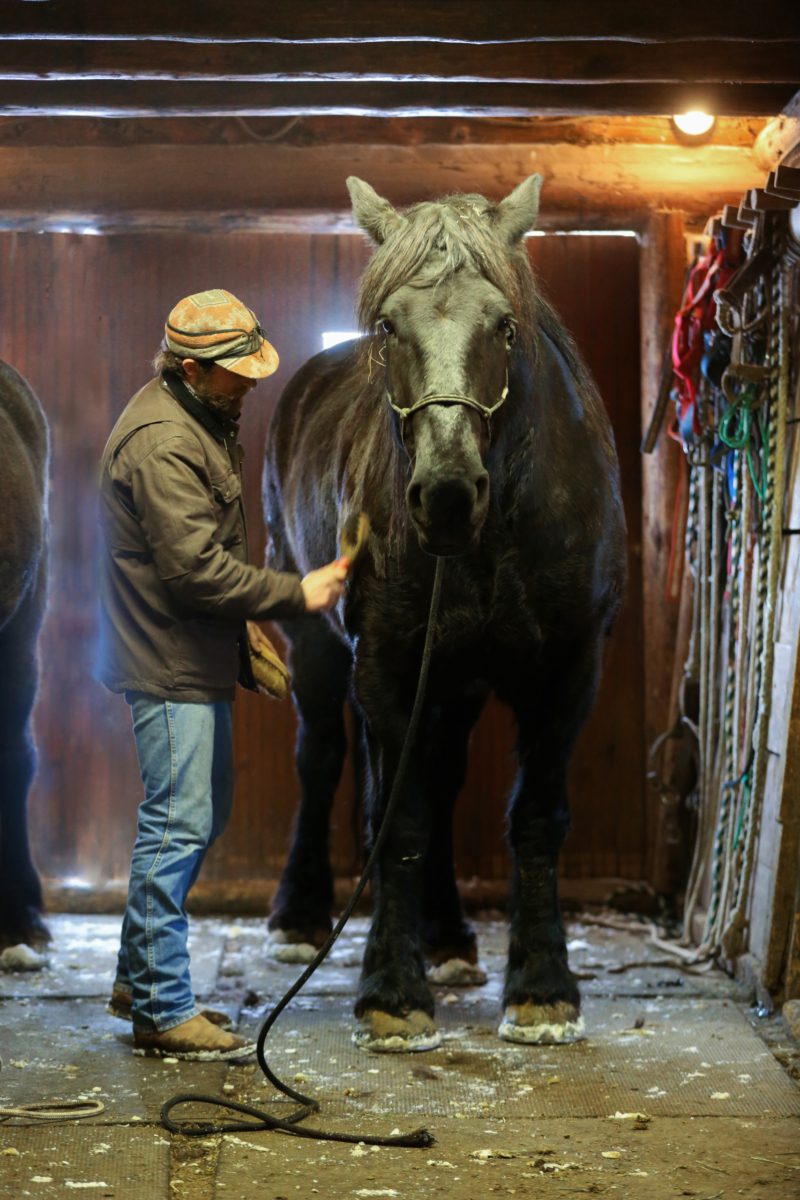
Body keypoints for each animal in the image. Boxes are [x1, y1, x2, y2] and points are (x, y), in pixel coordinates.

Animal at [263, 175, 626, 1050]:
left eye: (503, 324)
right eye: (389, 326)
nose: (449, 494)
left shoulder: (570, 667)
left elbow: (535, 816)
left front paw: (542, 987)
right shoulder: (389, 662)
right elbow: (399, 820)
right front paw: (393, 993)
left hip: (456, 681)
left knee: (442, 779)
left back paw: (451, 937)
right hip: (317, 648)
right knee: (324, 758)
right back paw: (301, 916)